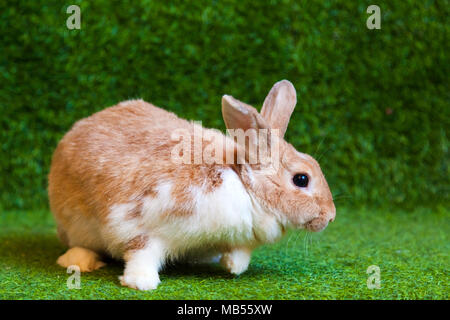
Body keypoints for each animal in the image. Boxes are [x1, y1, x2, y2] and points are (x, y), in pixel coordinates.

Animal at [48, 80, 334, 290]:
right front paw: (141, 283)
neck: (243, 187)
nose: (330, 216)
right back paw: (79, 261)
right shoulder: (141, 222)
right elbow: (142, 252)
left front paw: (233, 266)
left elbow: (239, 253)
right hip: (76, 224)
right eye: (301, 179)